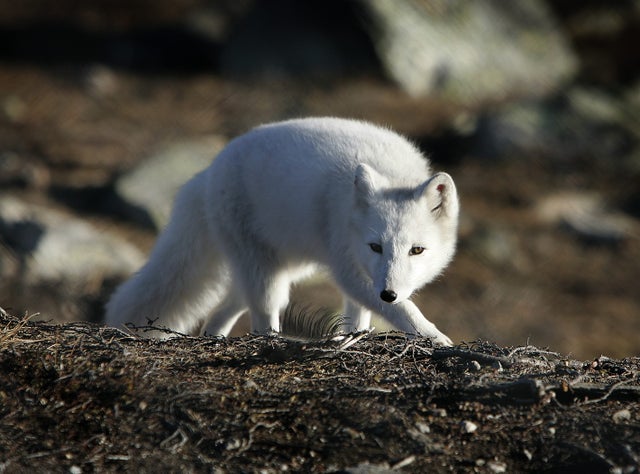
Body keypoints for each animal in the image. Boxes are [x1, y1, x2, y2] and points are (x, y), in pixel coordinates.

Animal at [105, 117, 458, 344]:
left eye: (416, 250)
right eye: (376, 247)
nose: (388, 292)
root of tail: (207, 172)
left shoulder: (359, 272)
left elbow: (360, 315)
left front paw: (352, 339)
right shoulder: (348, 266)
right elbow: (403, 310)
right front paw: (436, 338)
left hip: (280, 269)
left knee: (220, 312)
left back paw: (214, 340)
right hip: (265, 274)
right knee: (262, 317)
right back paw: (269, 343)